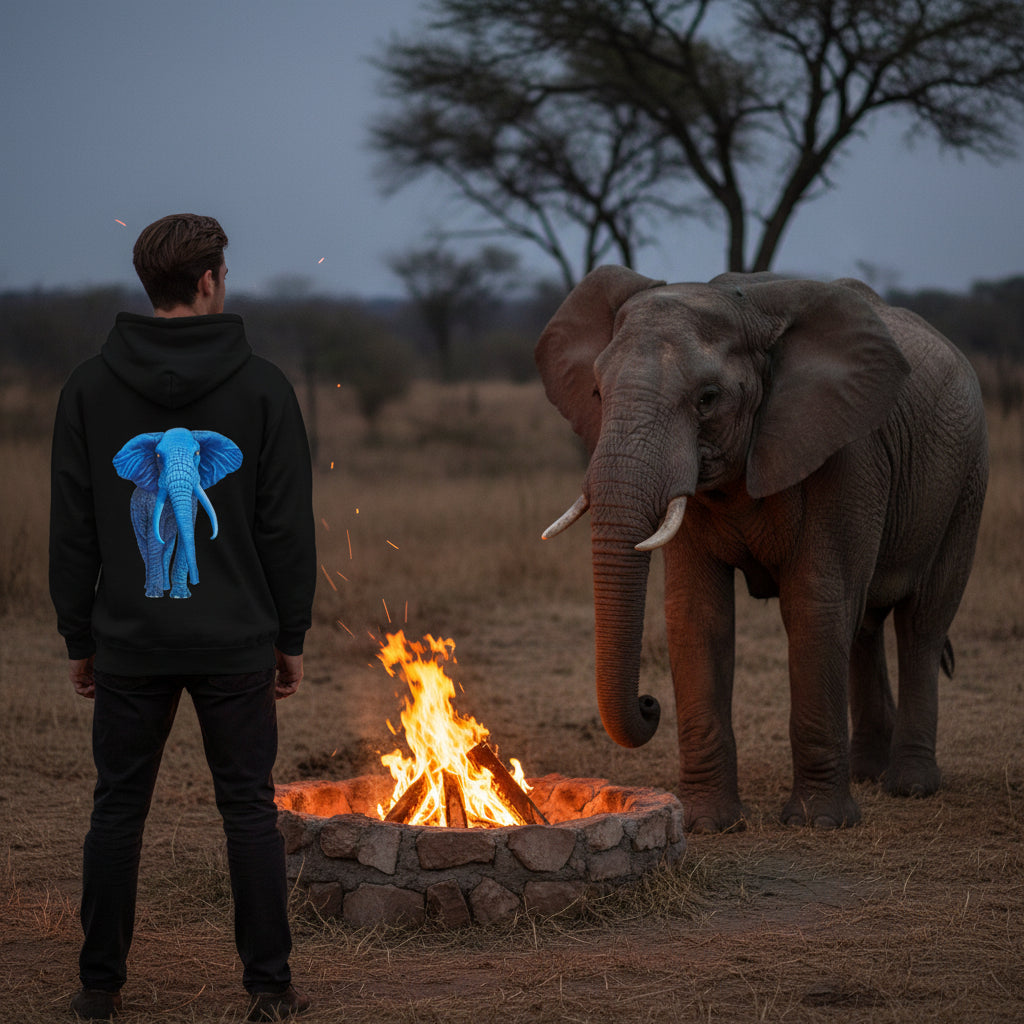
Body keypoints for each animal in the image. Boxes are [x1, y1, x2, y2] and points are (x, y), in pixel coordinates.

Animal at [113, 427, 242, 599]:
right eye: (158, 456)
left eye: (197, 453)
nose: (196, 581)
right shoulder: (151, 502)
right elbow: (154, 538)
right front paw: (155, 595)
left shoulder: (192, 501)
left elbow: (185, 533)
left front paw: (180, 595)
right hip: (134, 514)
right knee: (145, 545)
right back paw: (151, 588)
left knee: (167, 548)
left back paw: (165, 587)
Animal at [535, 266, 988, 832]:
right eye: (597, 392)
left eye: (708, 398)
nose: (649, 703)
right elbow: (698, 614)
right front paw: (710, 824)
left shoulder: (848, 452)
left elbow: (815, 604)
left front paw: (820, 823)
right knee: (863, 624)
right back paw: (866, 774)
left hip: (967, 480)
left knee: (922, 622)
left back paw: (909, 786)